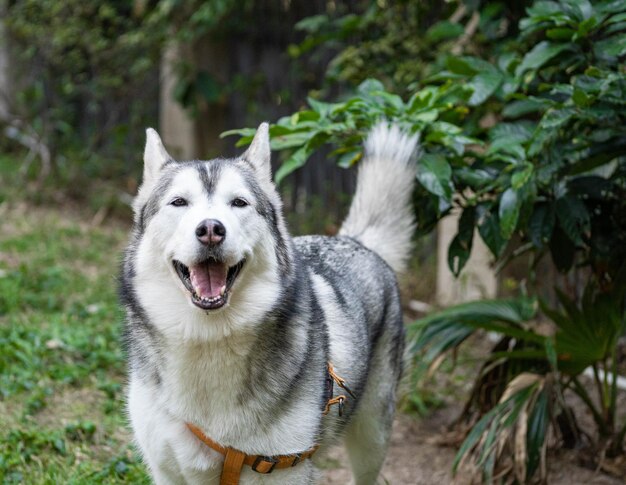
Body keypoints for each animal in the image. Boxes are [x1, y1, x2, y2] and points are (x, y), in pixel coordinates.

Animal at [120, 122, 416, 484]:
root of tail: (354, 240)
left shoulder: (284, 466)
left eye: (239, 202)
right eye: (178, 202)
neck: (208, 340)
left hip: (372, 435)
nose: (210, 229)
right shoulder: (167, 471)